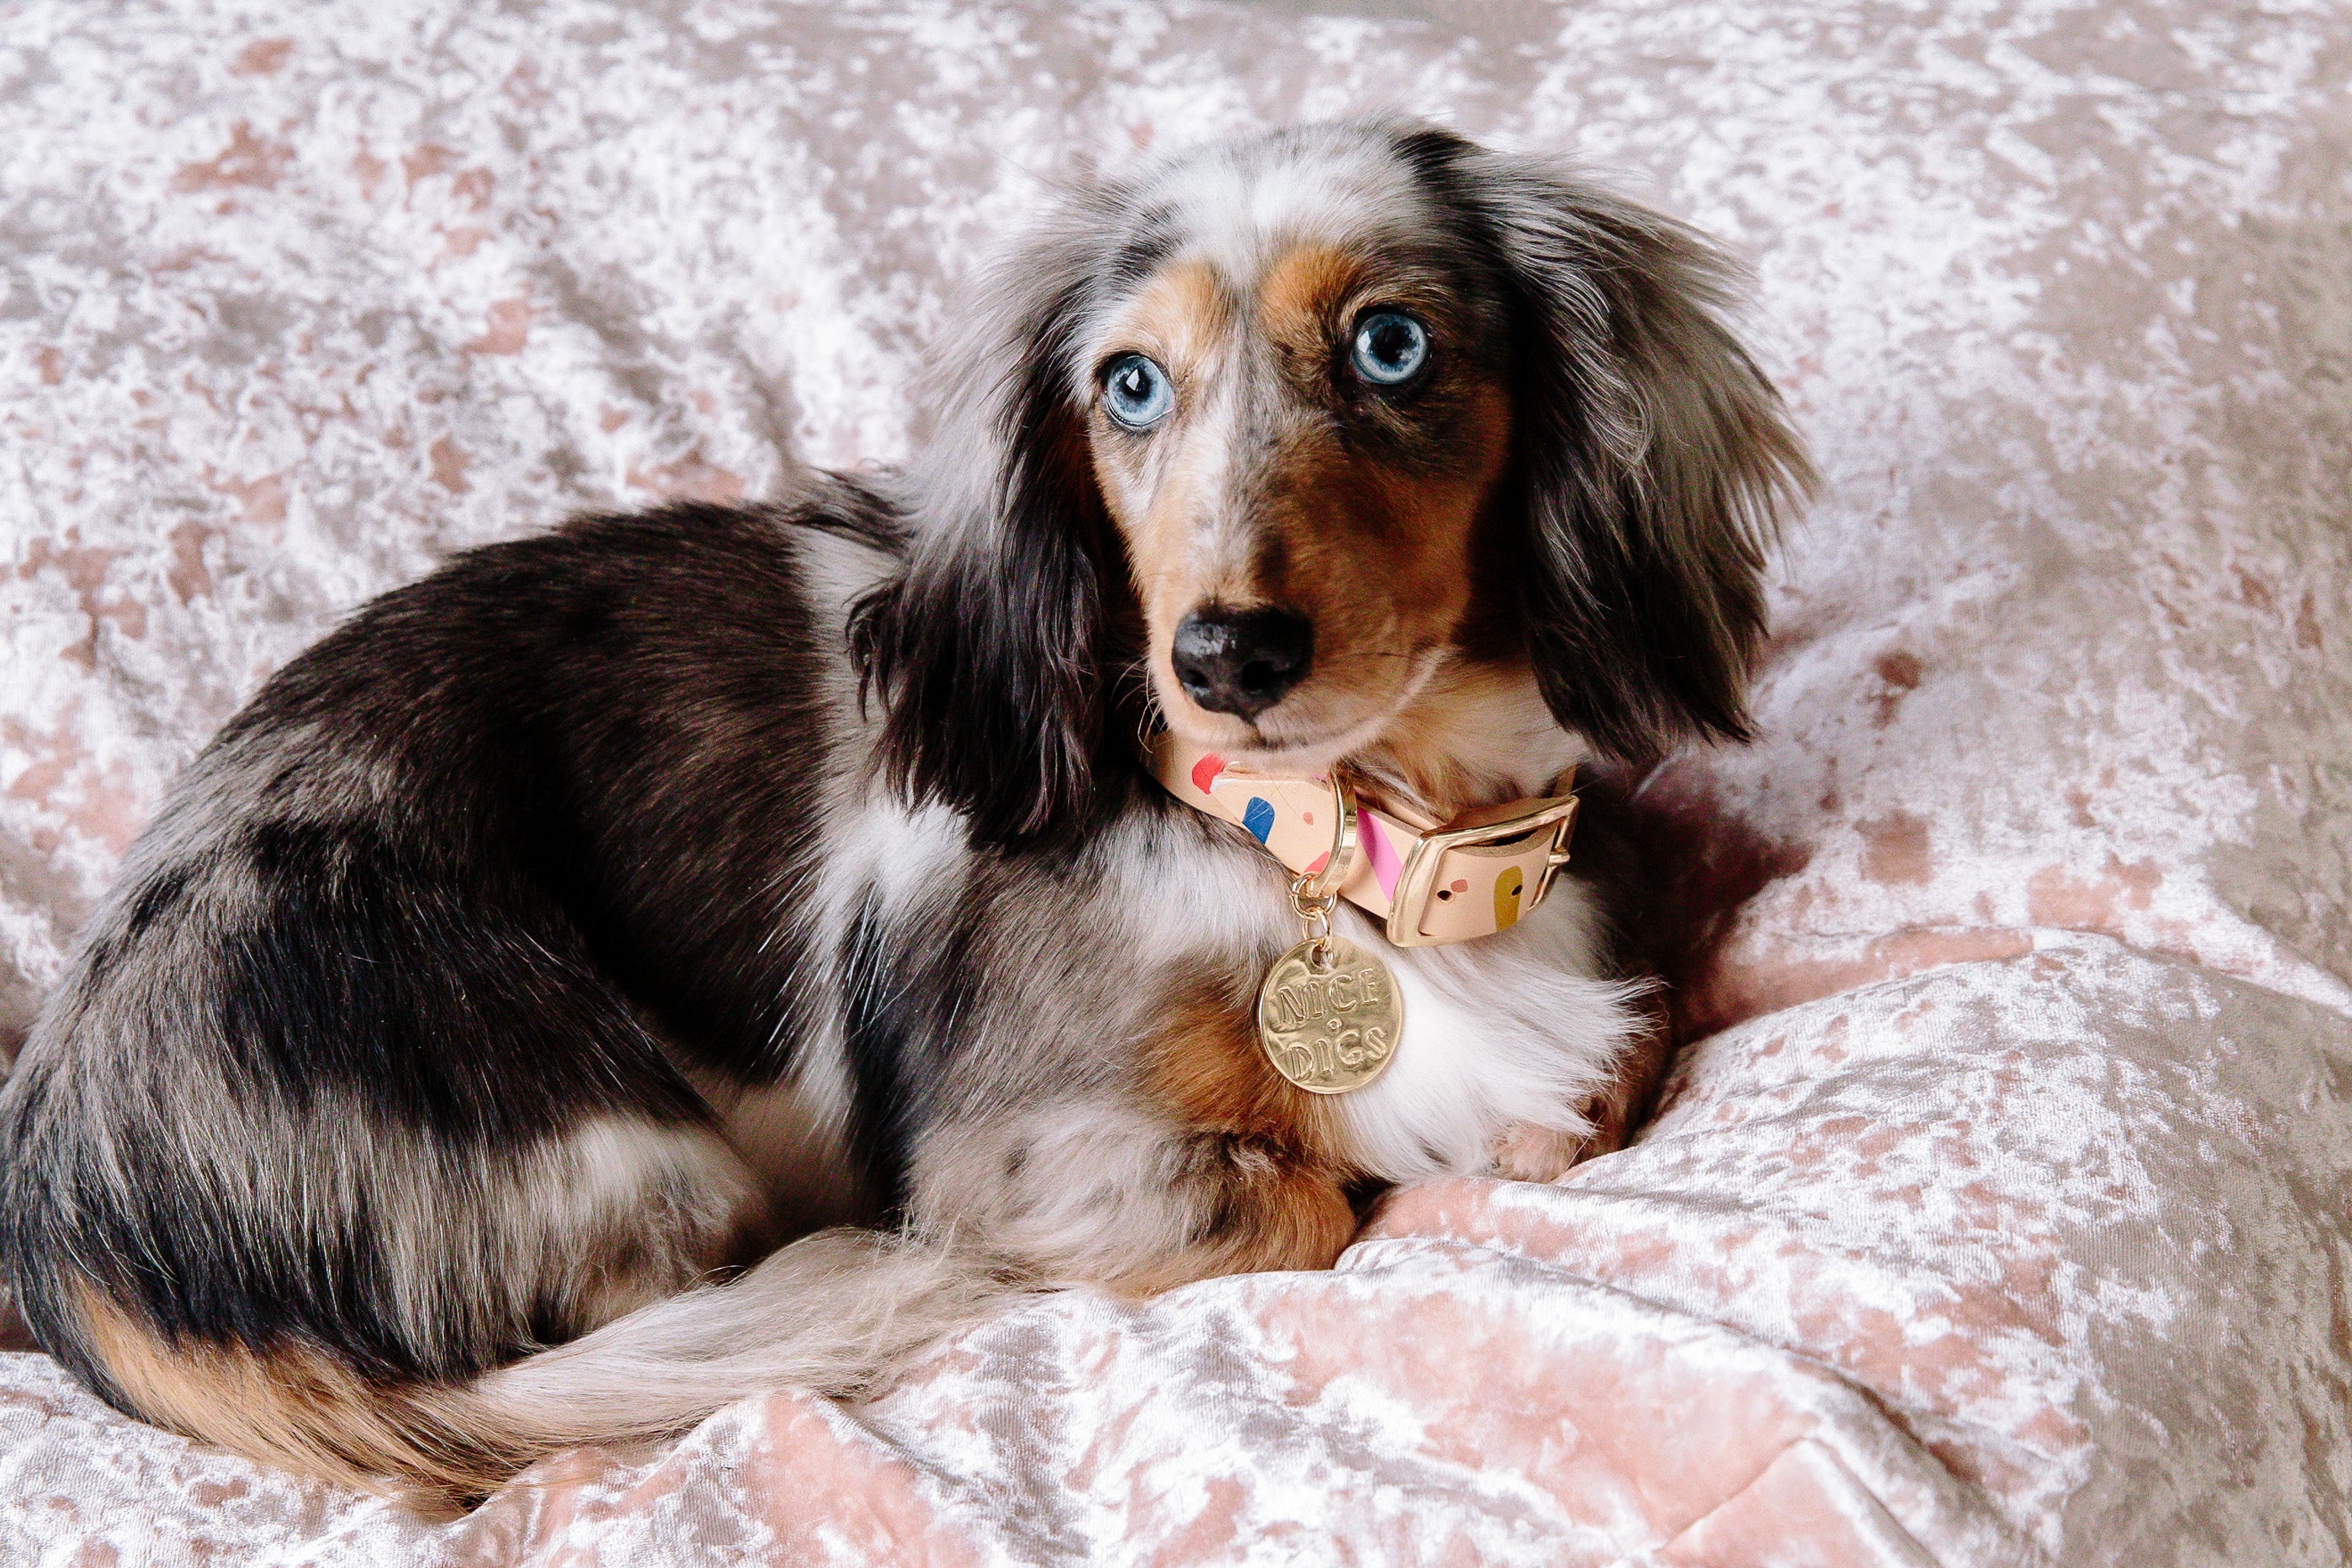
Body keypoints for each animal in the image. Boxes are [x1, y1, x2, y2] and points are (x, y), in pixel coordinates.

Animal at [0, 116, 1806, 1504]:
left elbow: (1609, 1057)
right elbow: (1309, 1188)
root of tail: (68, 1219)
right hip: (632, 1155)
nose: (1223, 657)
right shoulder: (1006, 1166)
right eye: (1129, 384)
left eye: (1392, 343)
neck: (1349, 836)